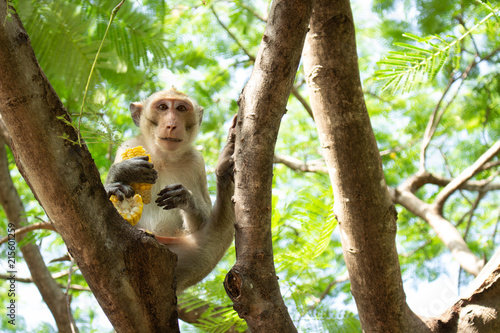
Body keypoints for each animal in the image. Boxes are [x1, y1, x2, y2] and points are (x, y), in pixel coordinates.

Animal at [104, 88, 236, 290]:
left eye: (181, 108)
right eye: (162, 107)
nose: (172, 124)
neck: (163, 158)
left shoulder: (196, 163)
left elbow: (200, 224)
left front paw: (184, 198)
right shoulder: (127, 147)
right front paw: (122, 173)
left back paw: (225, 169)